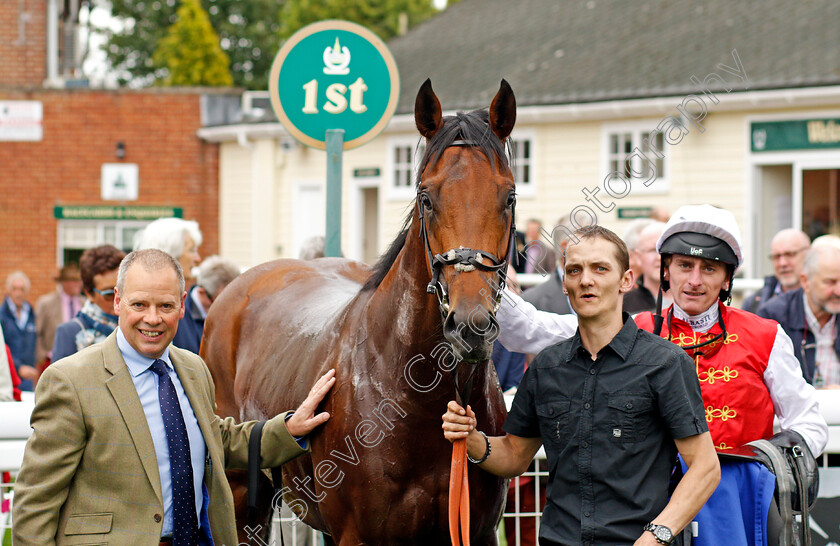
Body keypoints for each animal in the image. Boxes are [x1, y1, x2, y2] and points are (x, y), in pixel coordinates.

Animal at [202, 78, 520, 540]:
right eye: (426, 196)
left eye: (509, 195)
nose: (470, 324)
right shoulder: (358, 535)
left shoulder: (476, 533)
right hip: (242, 496)